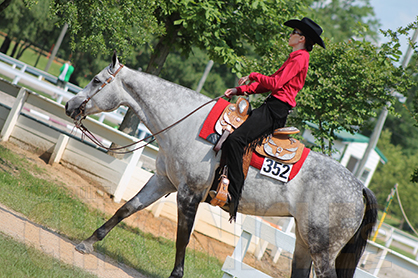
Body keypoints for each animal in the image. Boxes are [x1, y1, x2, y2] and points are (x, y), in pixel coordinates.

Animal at [65, 52, 378, 278]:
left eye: (96, 80)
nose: (70, 106)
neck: (186, 123)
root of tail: (358, 187)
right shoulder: (163, 181)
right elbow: (126, 208)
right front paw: (87, 243)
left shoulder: (189, 194)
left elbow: (182, 237)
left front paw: (176, 274)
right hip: (304, 242)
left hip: (323, 249)